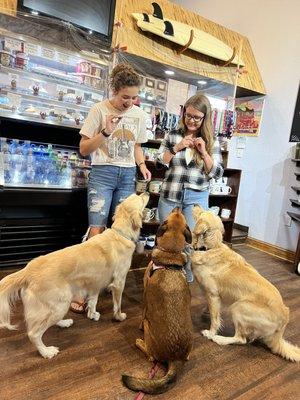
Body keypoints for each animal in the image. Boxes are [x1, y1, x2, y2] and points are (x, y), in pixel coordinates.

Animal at [121, 208, 192, 396]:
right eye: (179, 215)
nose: (178, 207)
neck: (171, 254)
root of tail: (176, 358)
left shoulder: (145, 295)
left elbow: (143, 312)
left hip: (148, 328)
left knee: (151, 356)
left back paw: (140, 342)